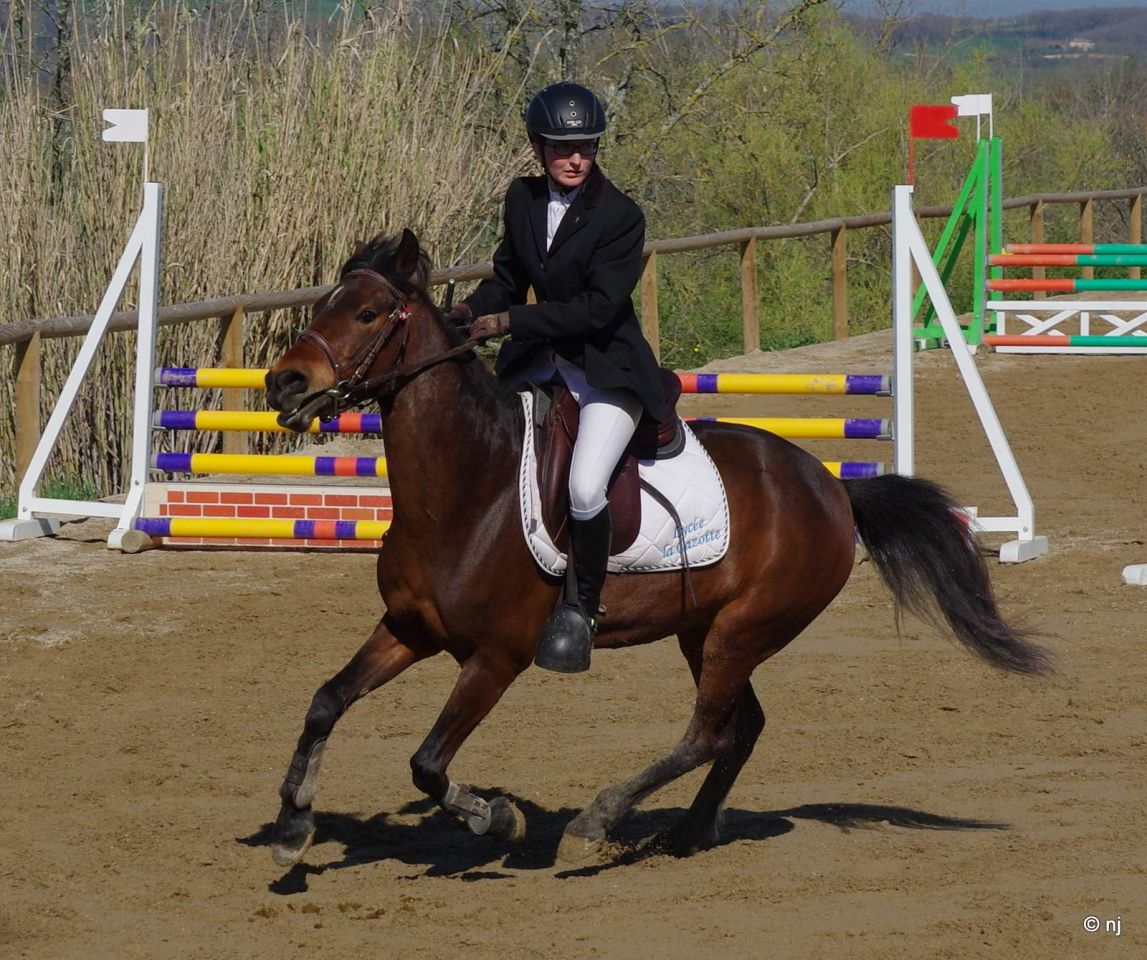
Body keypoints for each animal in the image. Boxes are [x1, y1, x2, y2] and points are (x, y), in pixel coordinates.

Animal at [263, 229, 1049, 867]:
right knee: (740, 727)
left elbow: (427, 762)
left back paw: (598, 821)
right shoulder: (407, 628)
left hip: (742, 630)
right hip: (705, 630)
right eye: (325, 302)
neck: (465, 491)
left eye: (367, 314)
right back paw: (689, 832)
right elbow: (324, 702)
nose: (283, 381)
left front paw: (497, 817)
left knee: (707, 733)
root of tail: (830, 488)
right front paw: (294, 824)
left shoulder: (494, 659)